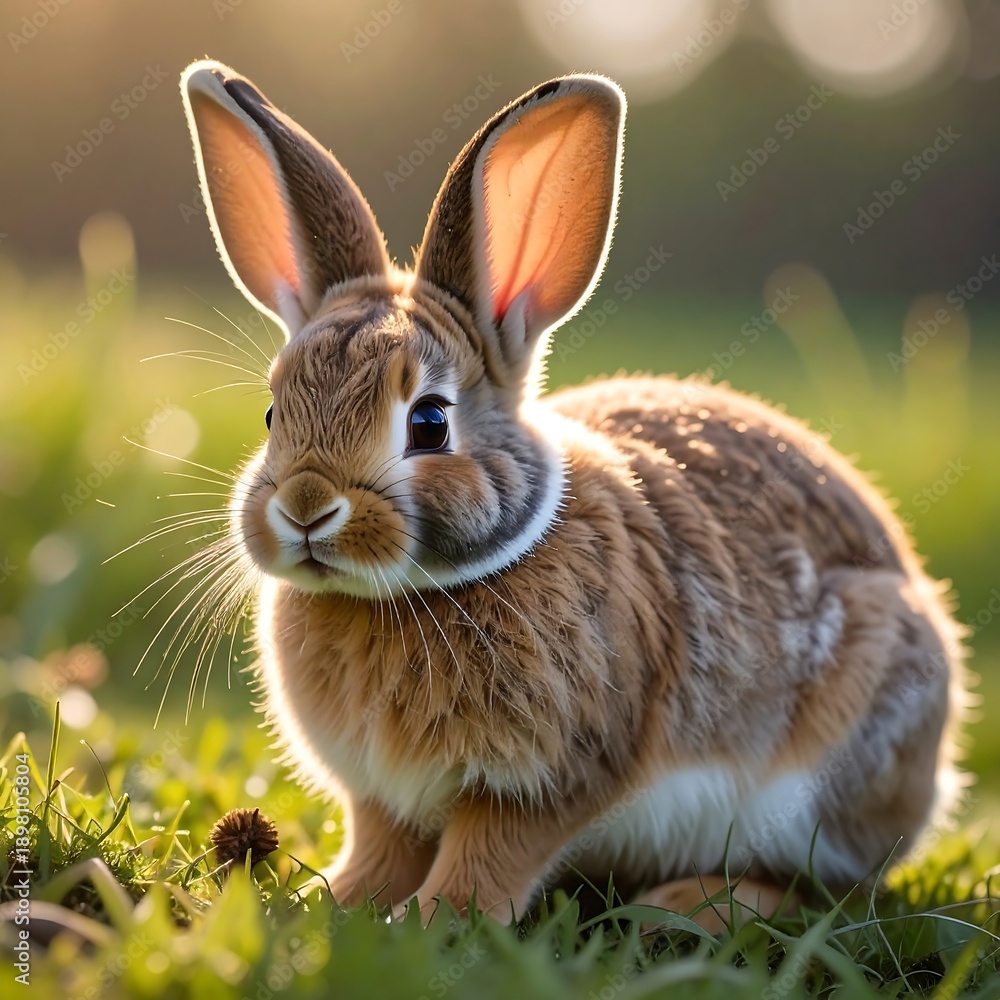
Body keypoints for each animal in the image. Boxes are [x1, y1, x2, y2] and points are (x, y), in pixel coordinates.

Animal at [180, 59, 968, 927]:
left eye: (428, 422)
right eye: (273, 413)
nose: (305, 509)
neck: (409, 592)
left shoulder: (550, 778)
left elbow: (490, 854)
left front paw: (434, 921)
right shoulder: (380, 795)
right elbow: (380, 847)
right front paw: (333, 901)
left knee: (830, 890)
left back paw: (691, 905)